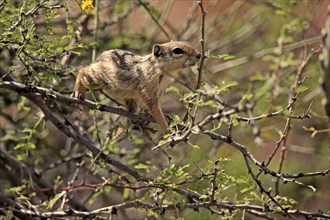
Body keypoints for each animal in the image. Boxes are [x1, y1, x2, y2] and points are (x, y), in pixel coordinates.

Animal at [73, 42, 201, 133]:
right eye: (177, 50)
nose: (199, 54)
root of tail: (99, 58)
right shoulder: (149, 88)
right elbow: (155, 109)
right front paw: (166, 129)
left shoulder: (159, 91)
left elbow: (157, 108)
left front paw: (165, 117)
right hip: (98, 78)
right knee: (82, 71)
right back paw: (79, 92)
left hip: (131, 97)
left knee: (132, 110)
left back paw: (138, 121)